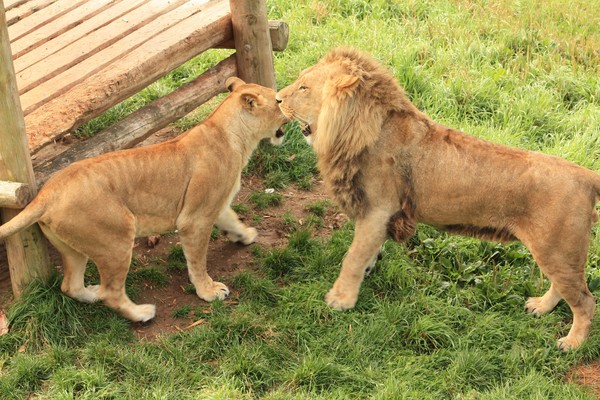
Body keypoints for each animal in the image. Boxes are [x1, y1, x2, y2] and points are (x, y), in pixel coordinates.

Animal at [0, 77, 288, 322]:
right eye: (278, 101)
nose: (289, 111)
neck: (232, 134)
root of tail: (46, 193)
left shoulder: (214, 204)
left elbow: (232, 219)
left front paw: (245, 235)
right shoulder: (194, 219)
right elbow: (197, 260)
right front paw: (208, 291)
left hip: (73, 247)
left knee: (70, 285)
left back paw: (92, 293)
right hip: (115, 239)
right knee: (111, 292)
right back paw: (141, 314)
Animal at [276, 48, 600, 350]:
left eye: (304, 87)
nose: (277, 99)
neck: (357, 129)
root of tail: (585, 174)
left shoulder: (378, 209)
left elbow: (353, 257)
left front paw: (340, 299)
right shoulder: (380, 214)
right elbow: (367, 251)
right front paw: (366, 272)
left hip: (556, 249)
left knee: (585, 300)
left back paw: (572, 343)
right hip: (556, 252)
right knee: (564, 287)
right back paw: (541, 307)